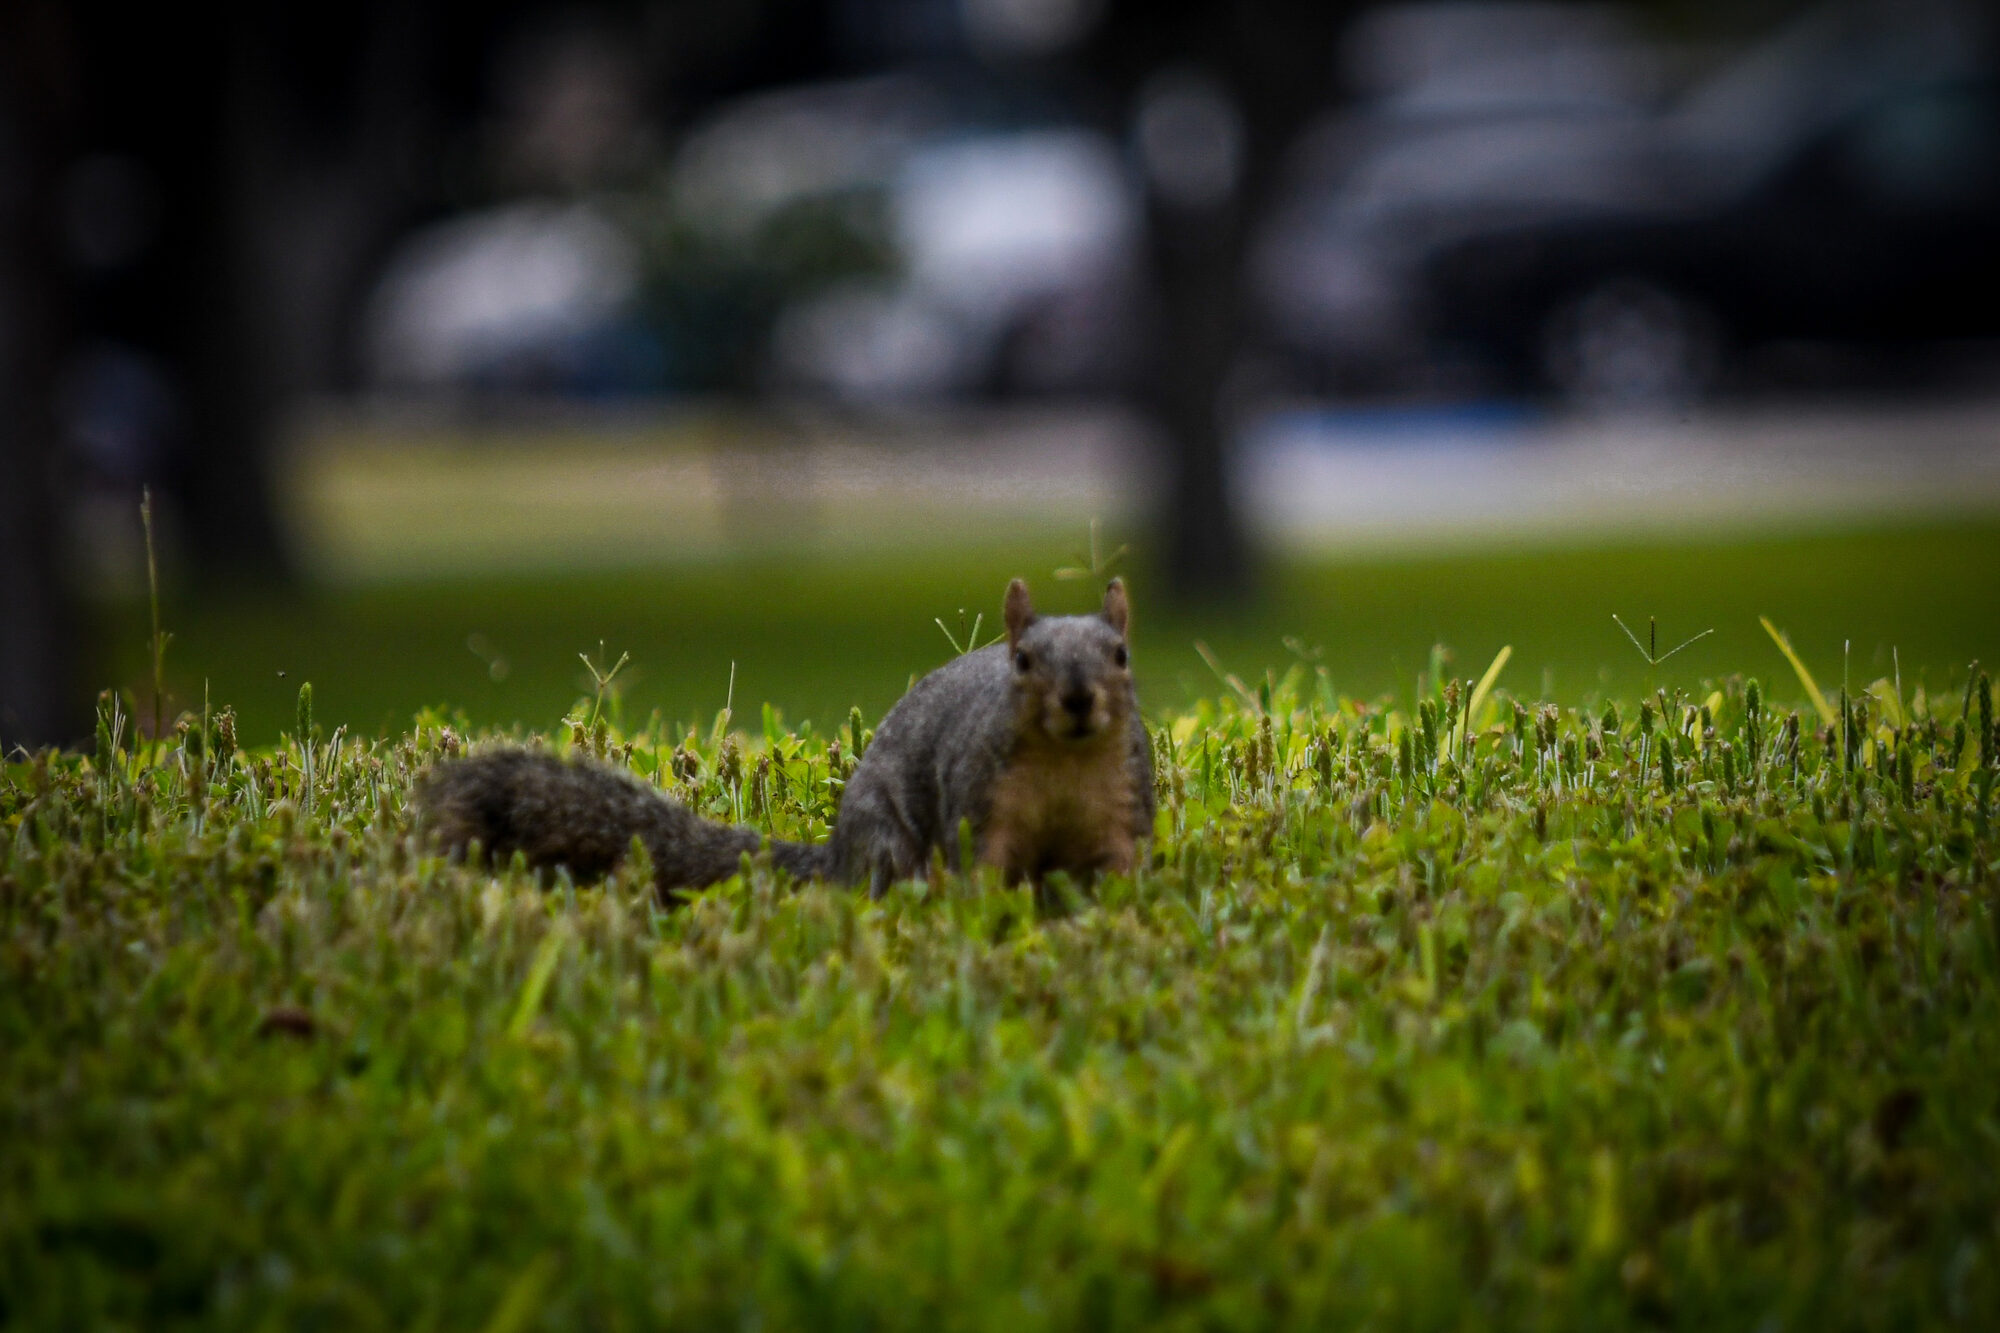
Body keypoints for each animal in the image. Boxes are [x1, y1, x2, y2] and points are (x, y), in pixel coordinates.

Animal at [414, 578, 1154, 898]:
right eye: (1022, 661)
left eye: (1122, 655)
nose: (1078, 699)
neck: (1065, 762)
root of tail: (840, 856)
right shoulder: (980, 810)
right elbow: (984, 871)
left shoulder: (1121, 812)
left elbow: (1118, 873)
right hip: (886, 841)